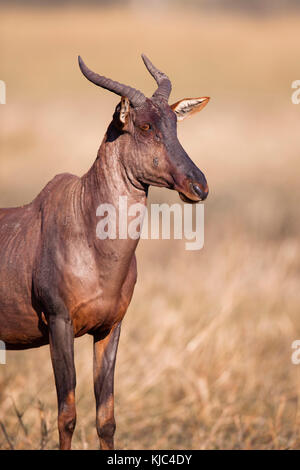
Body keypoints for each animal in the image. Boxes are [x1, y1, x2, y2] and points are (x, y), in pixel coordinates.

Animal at [0, 54, 210, 448]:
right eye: (144, 125)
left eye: (175, 124)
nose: (198, 186)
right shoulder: (59, 324)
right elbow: (66, 414)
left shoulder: (110, 328)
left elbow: (106, 417)